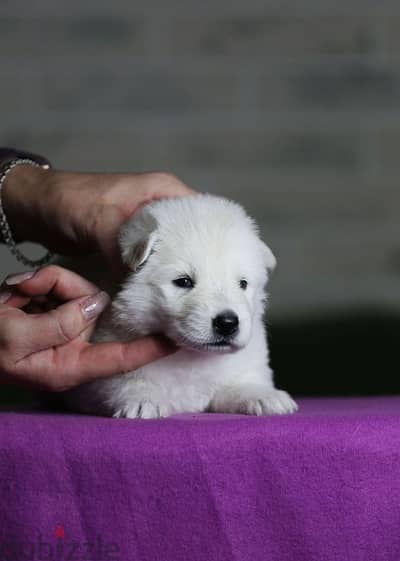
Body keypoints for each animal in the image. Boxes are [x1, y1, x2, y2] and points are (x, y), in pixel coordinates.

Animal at [65, 195, 296, 418]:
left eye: (243, 284)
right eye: (183, 281)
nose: (228, 323)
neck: (191, 357)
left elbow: (238, 382)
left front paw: (264, 396)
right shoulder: (98, 373)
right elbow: (124, 381)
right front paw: (143, 399)